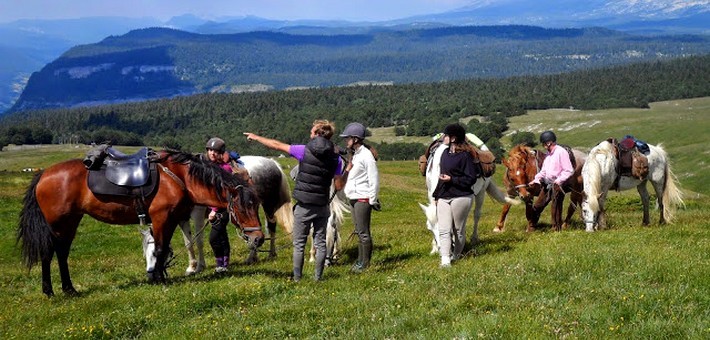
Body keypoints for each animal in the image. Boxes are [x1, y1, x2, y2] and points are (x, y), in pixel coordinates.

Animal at [17, 150, 264, 296]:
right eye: (243, 208)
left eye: (256, 206)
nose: (259, 239)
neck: (180, 177)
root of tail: (43, 175)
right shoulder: (162, 217)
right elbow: (161, 248)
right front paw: (159, 279)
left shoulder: (172, 219)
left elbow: (163, 249)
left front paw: (159, 274)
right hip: (58, 224)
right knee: (49, 253)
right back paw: (49, 291)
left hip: (71, 222)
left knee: (61, 253)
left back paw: (69, 289)